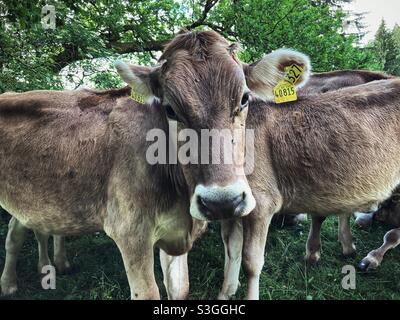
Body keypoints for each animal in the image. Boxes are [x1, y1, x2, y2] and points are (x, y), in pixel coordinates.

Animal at [0, 31, 310, 298]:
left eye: (244, 98)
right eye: (170, 108)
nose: (222, 202)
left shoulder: (175, 234)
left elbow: (180, 289)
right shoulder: (130, 233)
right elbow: (148, 292)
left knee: (21, 228)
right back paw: (10, 284)